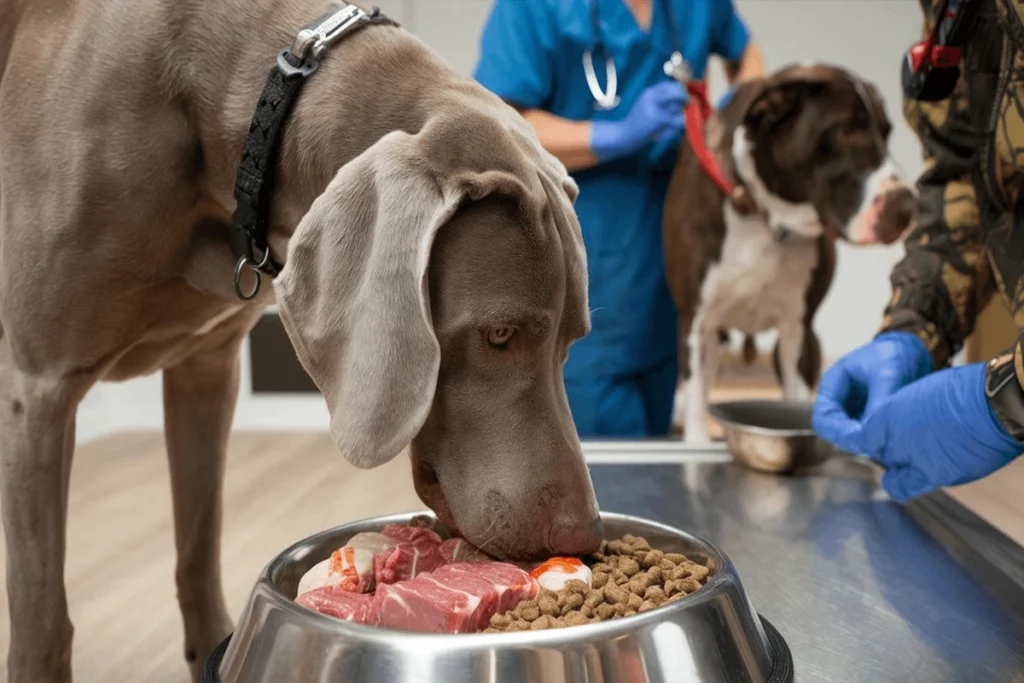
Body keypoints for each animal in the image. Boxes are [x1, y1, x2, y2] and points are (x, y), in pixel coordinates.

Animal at [0, 2, 602, 679]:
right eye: (498, 334)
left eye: (571, 341)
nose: (582, 537)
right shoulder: (37, 388)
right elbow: (42, 618)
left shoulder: (207, 368)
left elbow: (197, 549)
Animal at [667, 65, 917, 444]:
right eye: (846, 130)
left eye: (886, 132)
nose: (909, 207)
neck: (767, 218)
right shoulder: (696, 326)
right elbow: (696, 404)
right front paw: (695, 437)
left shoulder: (798, 331)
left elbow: (797, 401)